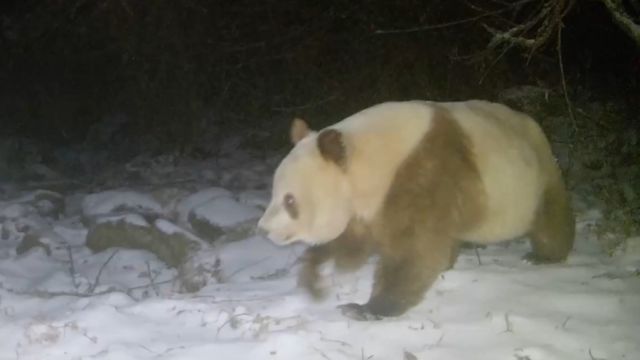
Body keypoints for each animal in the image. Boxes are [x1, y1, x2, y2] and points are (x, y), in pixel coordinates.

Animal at [255, 100, 576, 320]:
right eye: (274, 192)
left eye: (290, 201)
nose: (264, 229)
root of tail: (532, 123)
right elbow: (351, 242)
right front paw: (314, 274)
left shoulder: (425, 172)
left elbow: (413, 248)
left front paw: (366, 309)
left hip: (534, 176)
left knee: (549, 216)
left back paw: (543, 256)